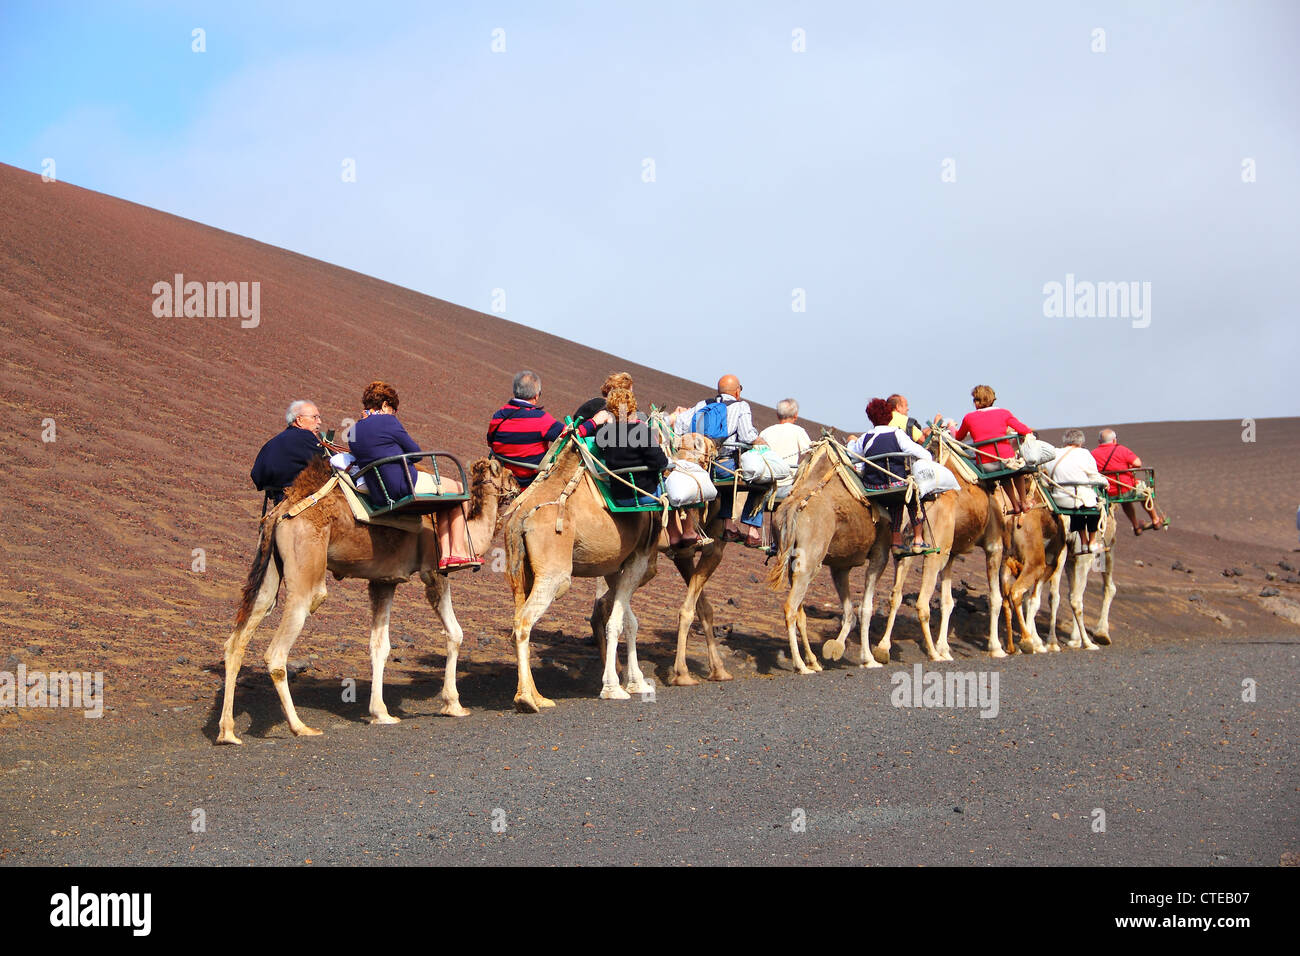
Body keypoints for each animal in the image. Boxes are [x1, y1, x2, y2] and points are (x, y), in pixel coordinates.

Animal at [215, 457, 514, 749]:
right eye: (509, 474)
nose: (517, 488)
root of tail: (280, 514)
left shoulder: (384, 581)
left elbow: (379, 646)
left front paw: (380, 713)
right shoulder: (434, 571)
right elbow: (455, 633)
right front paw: (453, 704)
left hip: (269, 571)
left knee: (239, 637)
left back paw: (227, 732)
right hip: (306, 569)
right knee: (279, 648)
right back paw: (300, 727)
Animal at [501, 437, 665, 712]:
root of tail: (521, 517)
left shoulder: (616, 565)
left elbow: (629, 621)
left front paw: (637, 682)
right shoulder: (638, 559)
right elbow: (617, 622)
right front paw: (613, 688)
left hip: (519, 570)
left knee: (516, 619)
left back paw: (537, 696)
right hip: (554, 573)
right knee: (525, 621)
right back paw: (526, 699)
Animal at [764, 442, 899, 671]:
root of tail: (792, 509)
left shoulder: (840, 566)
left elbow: (849, 612)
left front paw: (835, 648)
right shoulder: (880, 555)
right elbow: (865, 609)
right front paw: (868, 659)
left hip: (793, 561)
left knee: (800, 612)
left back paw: (813, 661)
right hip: (809, 562)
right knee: (790, 607)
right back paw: (801, 665)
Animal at [868, 437, 1008, 660]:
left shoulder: (950, 554)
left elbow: (947, 602)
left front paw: (945, 648)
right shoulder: (994, 544)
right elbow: (995, 598)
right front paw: (996, 648)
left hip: (906, 550)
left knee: (895, 595)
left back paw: (883, 648)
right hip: (934, 553)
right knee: (921, 602)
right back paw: (933, 654)